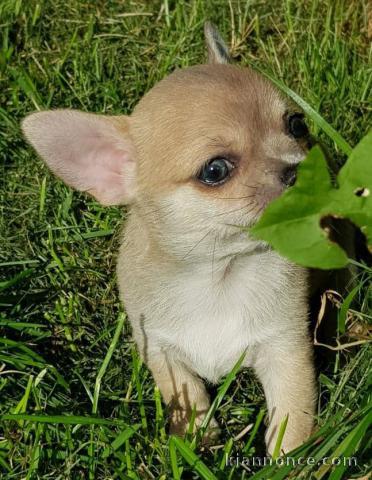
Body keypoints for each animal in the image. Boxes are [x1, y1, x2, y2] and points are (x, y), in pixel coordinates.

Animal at [21, 24, 316, 454]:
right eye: (215, 170)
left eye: (297, 125)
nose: (300, 169)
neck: (220, 275)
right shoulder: (160, 349)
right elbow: (186, 395)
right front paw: (196, 440)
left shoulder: (286, 350)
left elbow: (292, 422)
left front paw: (297, 458)